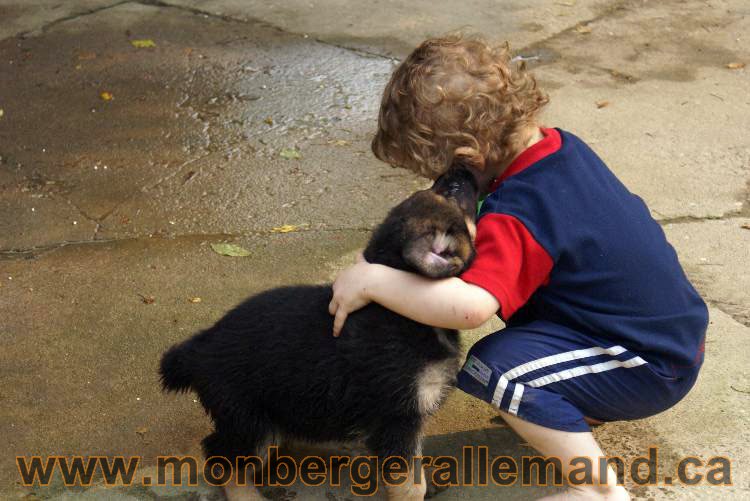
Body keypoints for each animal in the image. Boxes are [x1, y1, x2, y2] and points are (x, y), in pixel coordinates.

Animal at [161, 162, 478, 498]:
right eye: (451, 193)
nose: (462, 166)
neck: (404, 310)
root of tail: (199, 347)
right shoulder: (397, 419)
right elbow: (408, 482)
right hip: (249, 421)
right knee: (222, 456)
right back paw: (248, 494)